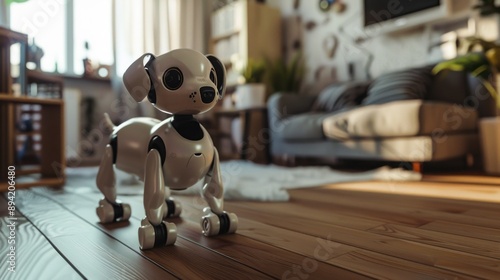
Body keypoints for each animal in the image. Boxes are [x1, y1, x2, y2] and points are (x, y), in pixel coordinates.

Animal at [96, 48, 239, 249]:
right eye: (172, 78)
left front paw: (220, 219)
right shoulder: (155, 151)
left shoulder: (214, 154)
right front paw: (156, 230)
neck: (187, 128)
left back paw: (169, 207)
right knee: (107, 181)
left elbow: (213, 188)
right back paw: (112, 209)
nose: (208, 92)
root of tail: (116, 128)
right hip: (112, 150)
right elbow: (154, 193)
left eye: (212, 75)